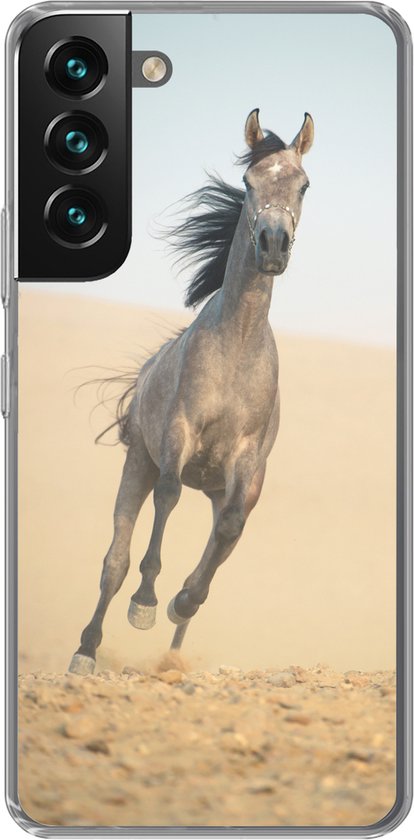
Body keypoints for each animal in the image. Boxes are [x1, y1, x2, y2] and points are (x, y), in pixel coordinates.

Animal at [68, 109, 314, 675]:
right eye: (248, 182)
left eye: (304, 185)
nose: (273, 245)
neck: (237, 344)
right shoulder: (179, 436)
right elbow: (167, 497)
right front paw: (146, 604)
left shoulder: (245, 462)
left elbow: (229, 530)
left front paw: (183, 601)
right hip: (138, 461)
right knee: (114, 560)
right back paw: (86, 650)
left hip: (222, 483)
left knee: (222, 534)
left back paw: (177, 644)